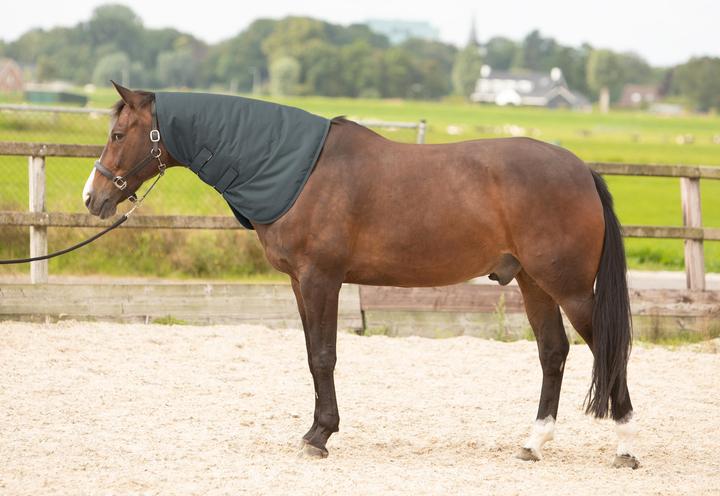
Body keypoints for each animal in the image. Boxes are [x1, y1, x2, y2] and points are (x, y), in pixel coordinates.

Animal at [82, 83, 638, 469]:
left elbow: (324, 357)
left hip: (570, 289)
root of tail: (581, 170)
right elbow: (313, 356)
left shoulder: (321, 279)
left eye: (117, 135)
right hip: (533, 283)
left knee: (609, 350)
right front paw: (315, 431)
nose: (93, 198)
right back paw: (533, 442)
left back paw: (625, 446)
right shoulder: (300, 283)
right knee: (553, 352)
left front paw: (319, 436)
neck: (297, 172)